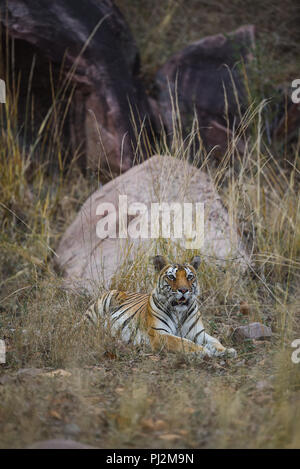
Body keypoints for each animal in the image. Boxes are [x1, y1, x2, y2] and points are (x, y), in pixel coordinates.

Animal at [82, 254, 237, 356]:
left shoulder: (198, 333)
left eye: (189, 276)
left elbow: (215, 341)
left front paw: (226, 350)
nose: (183, 290)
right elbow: (184, 342)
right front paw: (203, 351)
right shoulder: (159, 334)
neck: (179, 312)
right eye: (172, 277)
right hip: (100, 306)